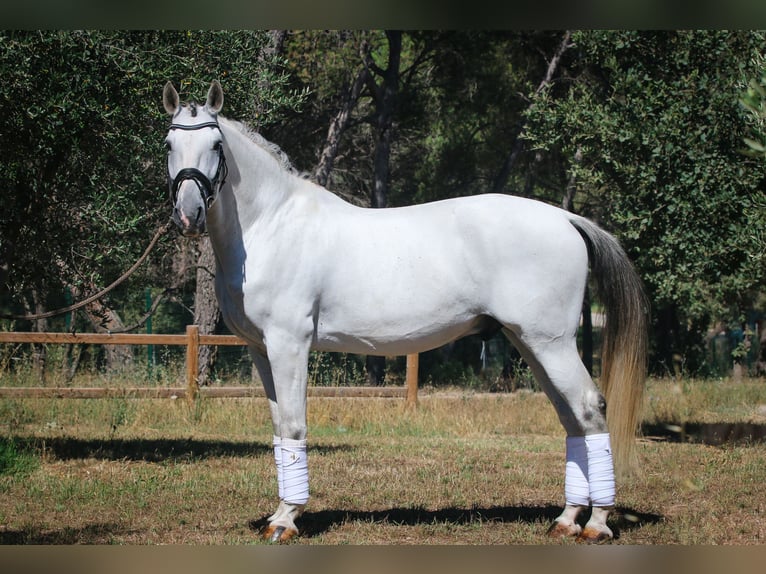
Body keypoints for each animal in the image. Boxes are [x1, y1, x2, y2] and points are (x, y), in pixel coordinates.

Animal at [162, 81, 648, 544]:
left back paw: (597, 524)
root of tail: (566, 219)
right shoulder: (261, 350)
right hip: (530, 343)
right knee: (571, 418)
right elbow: (280, 428)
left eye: (216, 145)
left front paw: (286, 521)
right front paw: (279, 514)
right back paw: (566, 520)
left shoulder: (289, 345)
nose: (188, 214)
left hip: (552, 343)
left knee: (589, 408)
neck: (272, 224)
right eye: (169, 144)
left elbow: (296, 426)